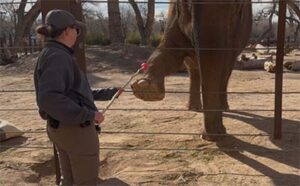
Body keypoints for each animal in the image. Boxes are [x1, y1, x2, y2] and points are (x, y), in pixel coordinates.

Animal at [131, 0, 253, 140]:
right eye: (188, 4)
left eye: (235, 6)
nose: (209, 137)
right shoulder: (174, 14)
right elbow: (171, 54)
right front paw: (145, 88)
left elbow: (223, 67)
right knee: (194, 67)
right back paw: (196, 109)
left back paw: (220, 110)